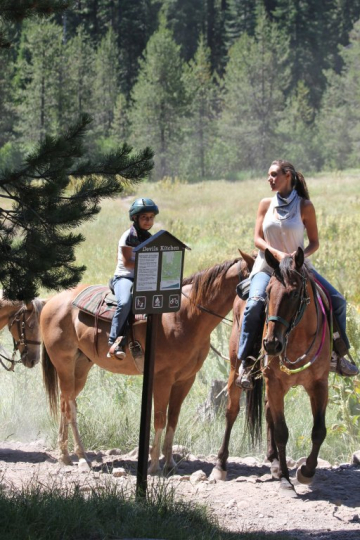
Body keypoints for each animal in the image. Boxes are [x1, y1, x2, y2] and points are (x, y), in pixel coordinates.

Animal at [41, 253, 253, 472]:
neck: (185, 316)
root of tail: (51, 301)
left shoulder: (185, 380)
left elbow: (173, 419)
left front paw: (170, 463)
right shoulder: (162, 378)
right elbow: (159, 418)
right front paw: (154, 465)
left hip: (81, 367)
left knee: (66, 402)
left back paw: (66, 455)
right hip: (64, 364)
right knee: (69, 408)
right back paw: (79, 456)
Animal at [212, 247, 330, 492]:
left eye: (294, 294)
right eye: (267, 293)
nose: (271, 345)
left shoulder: (319, 384)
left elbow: (318, 430)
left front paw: (306, 472)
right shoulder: (275, 383)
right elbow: (281, 431)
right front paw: (286, 478)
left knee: (267, 413)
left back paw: (274, 461)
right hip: (235, 369)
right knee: (231, 411)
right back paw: (220, 464)